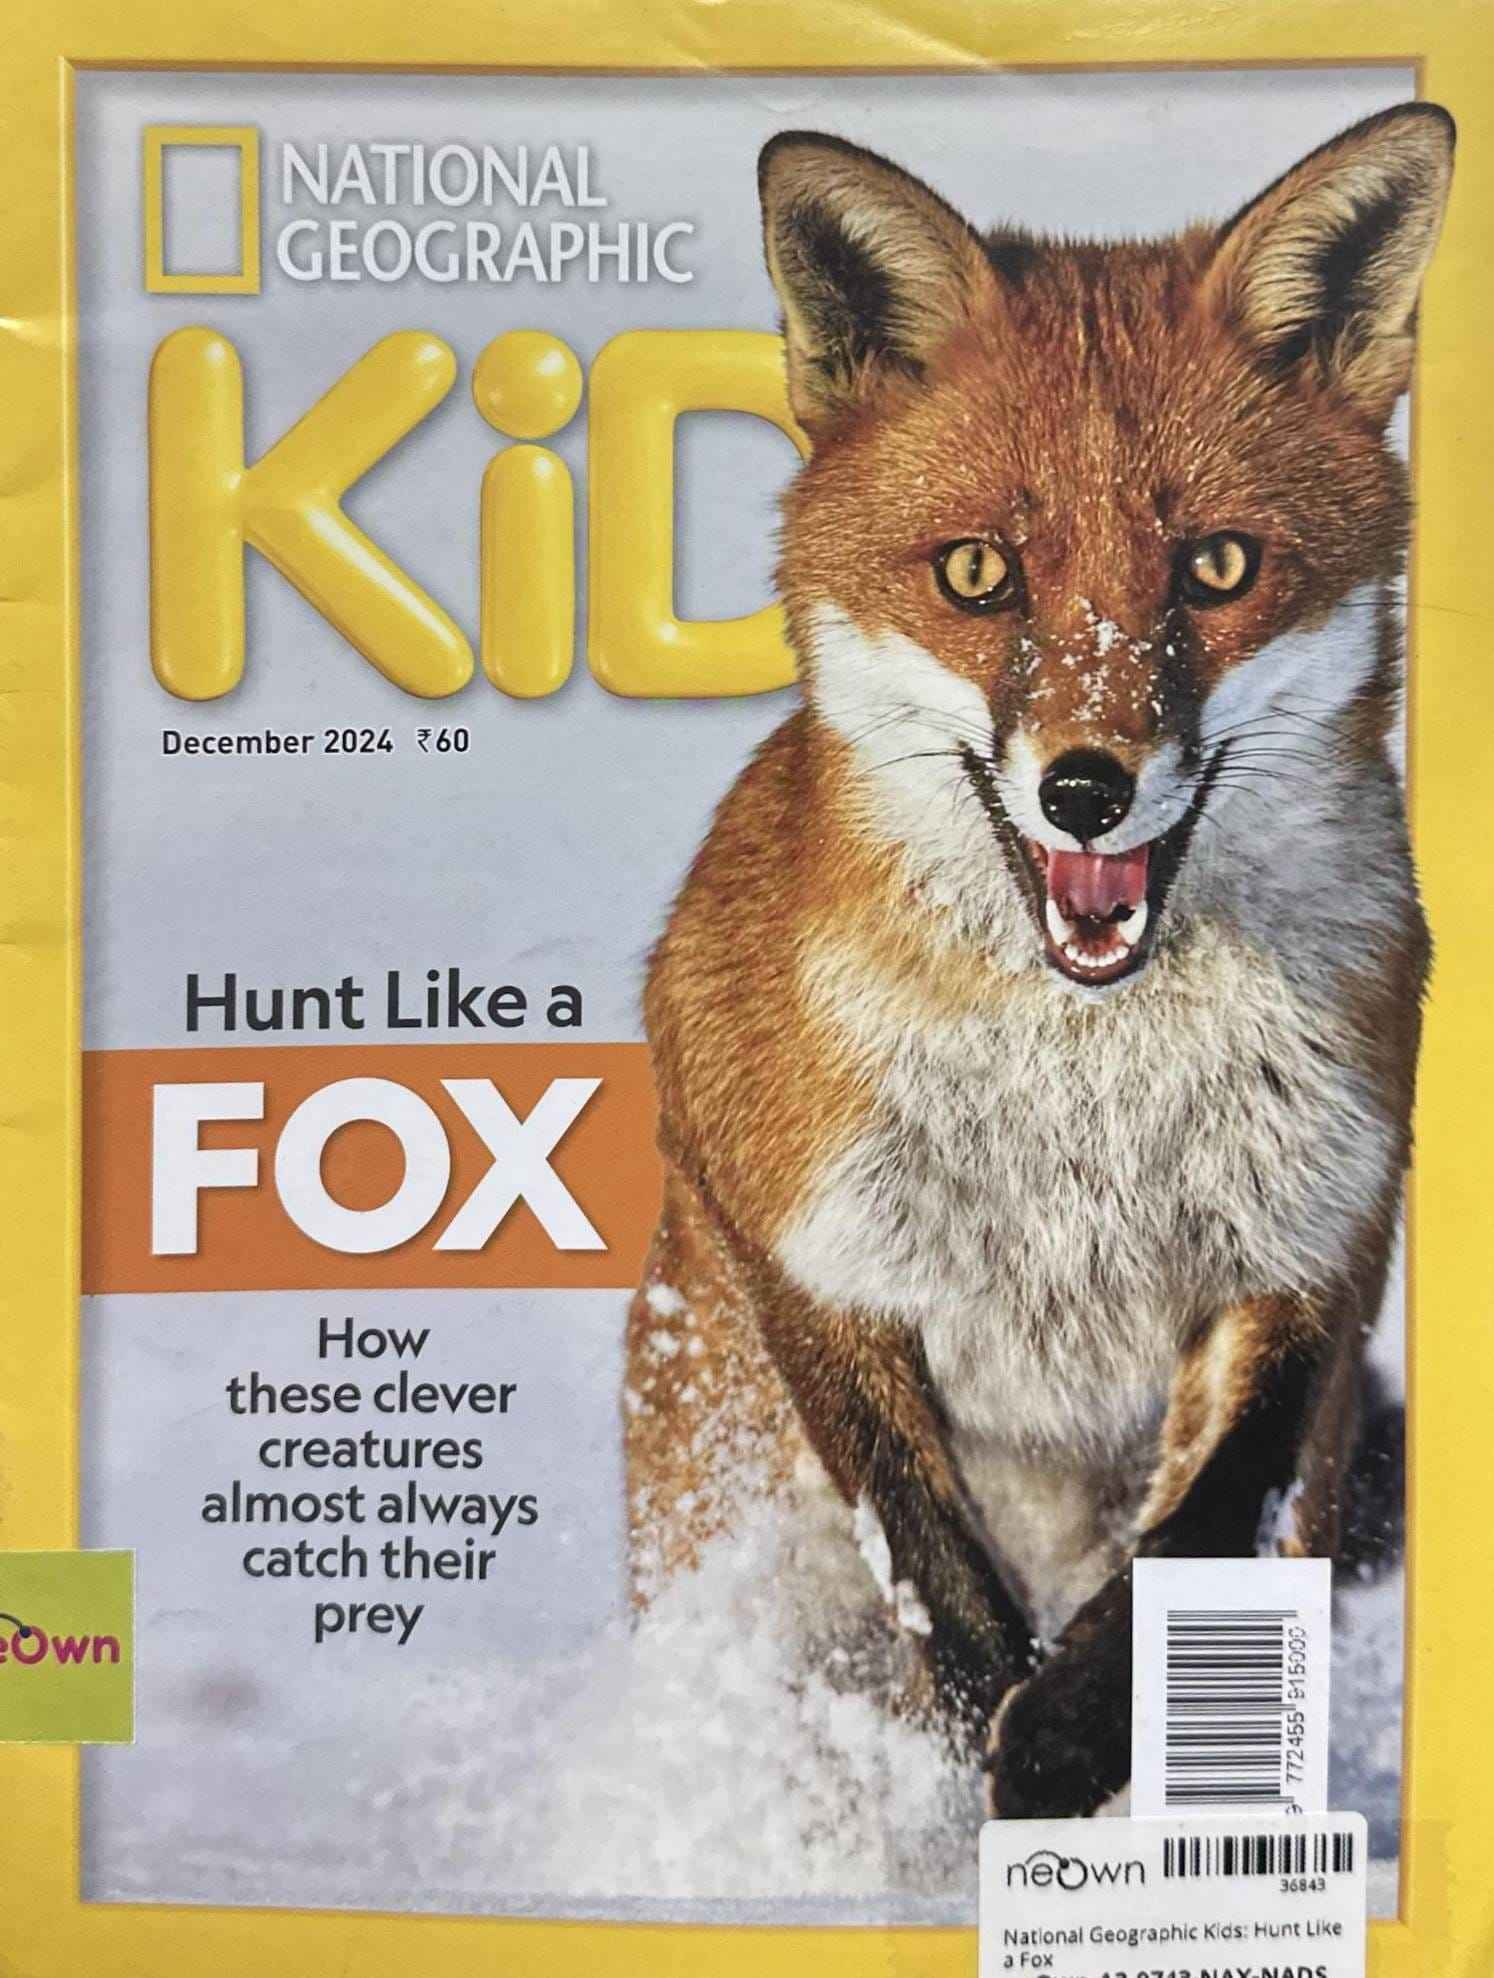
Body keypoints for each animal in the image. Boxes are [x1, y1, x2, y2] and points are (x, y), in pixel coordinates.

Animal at [624, 103, 1453, 1820]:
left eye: (1215, 568)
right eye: (976, 575)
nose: (1083, 787)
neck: (1083, 1100)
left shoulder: (1310, 1249)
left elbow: (1193, 1539)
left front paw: (1071, 1735)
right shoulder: (804, 1237)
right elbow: (925, 1553)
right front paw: (989, 1739)